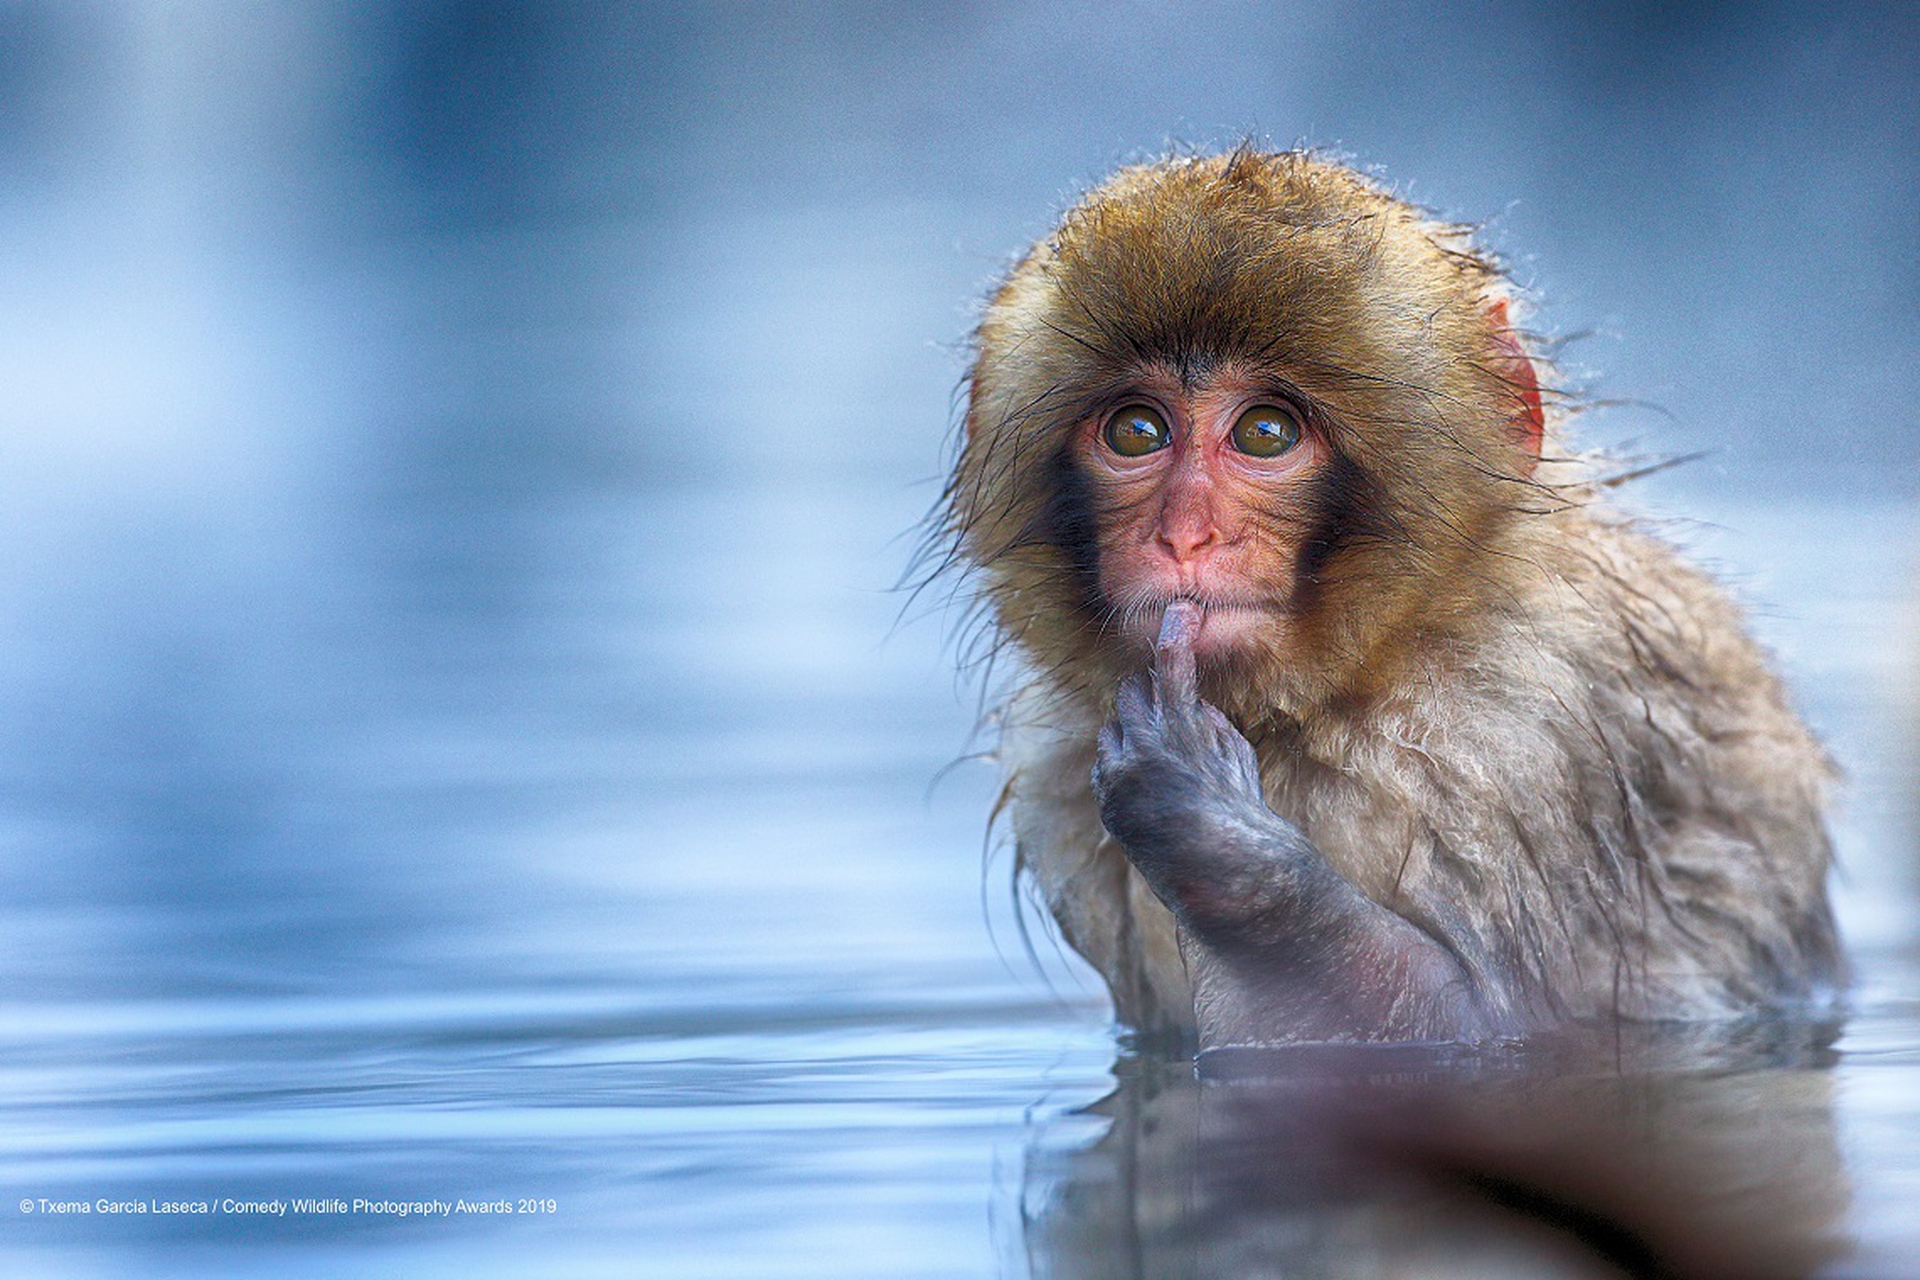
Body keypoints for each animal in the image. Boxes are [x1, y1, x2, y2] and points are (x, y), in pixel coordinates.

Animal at [942, 147, 1843, 1049]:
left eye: (1264, 433)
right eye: (1136, 431)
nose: (1184, 536)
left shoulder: (1512, 734)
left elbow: (1479, 1023)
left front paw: (1205, 824)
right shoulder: (1055, 764)